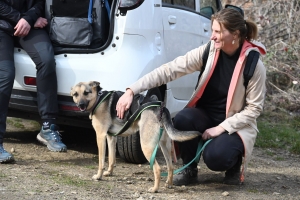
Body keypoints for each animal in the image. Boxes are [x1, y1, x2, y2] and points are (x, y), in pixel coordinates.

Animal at [70, 81, 202, 192]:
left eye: (86, 92)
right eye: (75, 94)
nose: (80, 104)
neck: (98, 99)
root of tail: (160, 109)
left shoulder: (100, 136)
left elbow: (101, 162)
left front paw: (99, 176)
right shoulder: (111, 137)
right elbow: (112, 159)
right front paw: (109, 172)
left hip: (146, 146)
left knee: (158, 169)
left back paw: (155, 189)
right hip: (165, 145)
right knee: (170, 167)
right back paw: (168, 184)